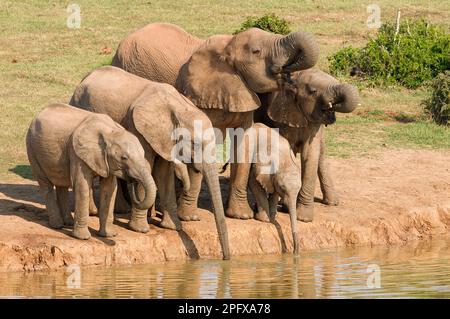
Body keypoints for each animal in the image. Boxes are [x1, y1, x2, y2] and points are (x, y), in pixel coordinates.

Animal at [26, 104, 156, 241]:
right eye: (124, 158)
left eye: (143, 155)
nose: (132, 180)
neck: (111, 132)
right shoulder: (77, 154)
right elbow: (81, 186)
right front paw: (83, 238)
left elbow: (109, 189)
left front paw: (109, 235)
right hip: (31, 148)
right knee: (46, 185)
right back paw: (57, 225)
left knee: (62, 184)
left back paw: (68, 223)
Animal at [110, 21, 318, 220]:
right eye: (256, 51)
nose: (289, 74)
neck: (227, 46)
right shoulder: (197, 97)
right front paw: (189, 217)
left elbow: (243, 145)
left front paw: (240, 215)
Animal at [244, 123, 300, 255]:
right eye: (283, 188)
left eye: (299, 190)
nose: (294, 252)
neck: (285, 160)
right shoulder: (259, 166)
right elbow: (255, 185)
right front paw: (265, 219)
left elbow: (274, 193)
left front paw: (274, 217)